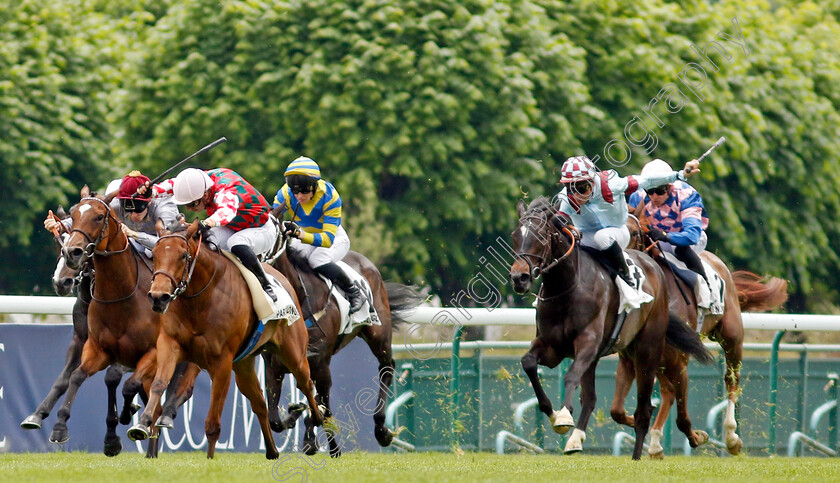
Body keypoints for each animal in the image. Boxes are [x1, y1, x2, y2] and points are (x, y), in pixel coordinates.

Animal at [55, 190, 200, 458]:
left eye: (98, 216)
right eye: (73, 214)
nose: (72, 253)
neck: (122, 294)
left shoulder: (151, 353)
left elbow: (125, 384)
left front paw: (122, 423)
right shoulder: (98, 348)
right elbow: (77, 376)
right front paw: (60, 426)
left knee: (180, 390)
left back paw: (162, 419)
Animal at [136, 221, 324, 460]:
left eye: (182, 255)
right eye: (155, 254)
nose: (158, 297)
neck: (201, 299)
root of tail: (282, 278)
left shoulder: (221, 363)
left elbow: (213, 421)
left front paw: (209, 459)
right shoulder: (169, 344)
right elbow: (159, 383)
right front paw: (143, 423)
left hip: (293, 352)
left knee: (306, 383)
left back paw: (318, 418)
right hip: (243, 365)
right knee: (259, 402)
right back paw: (272, 450)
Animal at [262, 227, 424, 458]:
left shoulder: (321, 364)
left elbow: (325, 410)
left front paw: (334, 448)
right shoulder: (273, 365)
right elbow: (275, 419)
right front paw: (297, 417)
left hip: (378, 336)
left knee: (387, 367)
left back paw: (382, 431)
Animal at [508, 198, 712, 462]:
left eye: (541, 236)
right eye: (515, 236)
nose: (519, 278)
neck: (568, 286)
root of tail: (653, 265)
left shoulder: (587, 342)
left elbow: (570, 376)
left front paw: (563, 416)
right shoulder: (552, 346)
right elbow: (529, 363)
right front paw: (553, 414)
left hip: (648, 351)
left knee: (645, 409)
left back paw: (638, 455)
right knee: (592, 399)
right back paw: (576, 440)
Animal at [620, 201, 792, 458]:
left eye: (633, 233)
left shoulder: (680, 360)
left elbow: (681, 414)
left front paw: (698, 437)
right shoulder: (640, 356)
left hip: (732, 337)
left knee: (731, 379)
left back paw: (732, 437)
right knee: (668, 391)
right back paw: (656, 444)